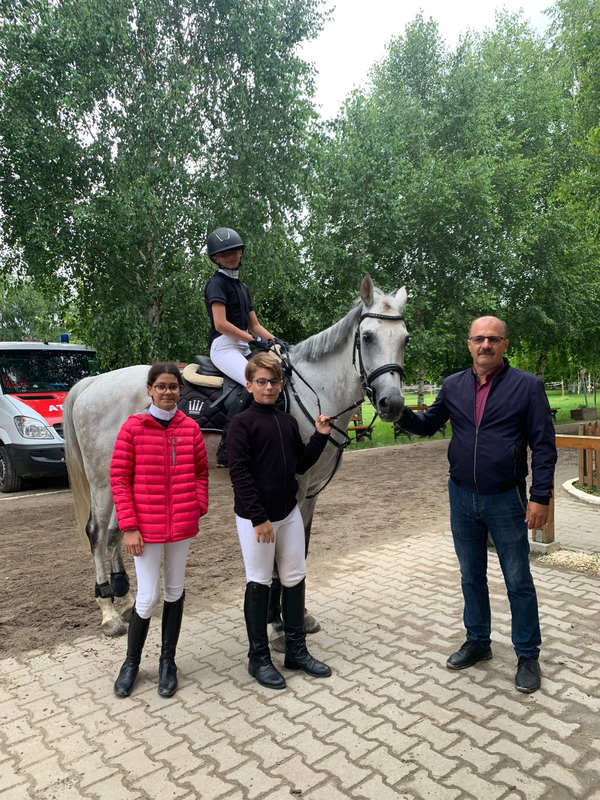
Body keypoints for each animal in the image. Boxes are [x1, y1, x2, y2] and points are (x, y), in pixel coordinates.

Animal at [64, 275, 409, 635]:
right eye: (367, 337)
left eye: (405, 338)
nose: (393, 403)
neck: (314, 392)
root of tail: (93, 383)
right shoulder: (291, 489)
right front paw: (277, 622)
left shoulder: (311, 493)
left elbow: (300, 548)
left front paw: (299, 615)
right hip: (102, 481)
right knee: (97, 532)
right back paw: (108, 611)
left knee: (116, 532)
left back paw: (127, 598)